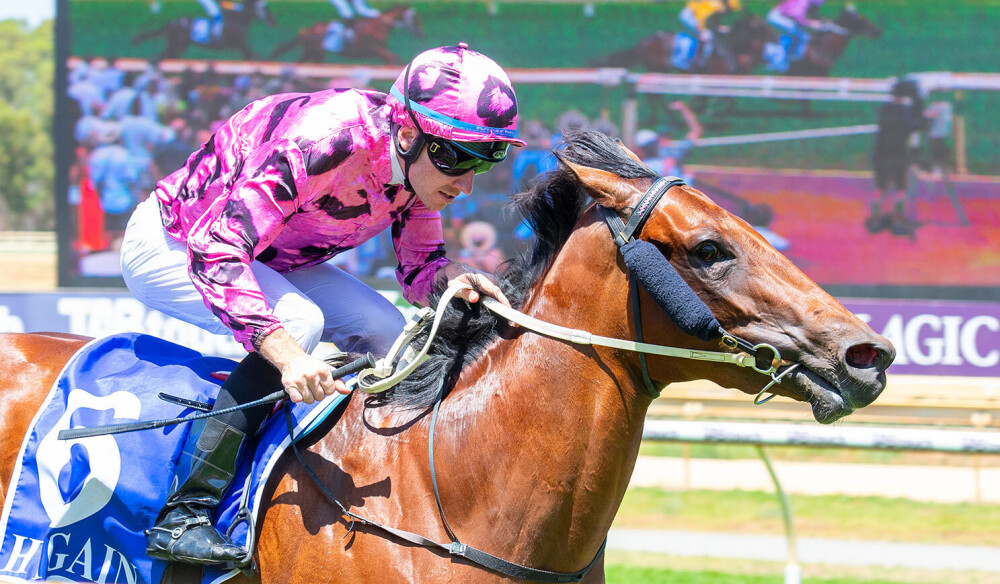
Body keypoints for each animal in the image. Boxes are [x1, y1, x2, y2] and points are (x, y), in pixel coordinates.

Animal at [132, 0, 278, 61]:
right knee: (161, 56)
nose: (273, 21)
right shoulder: (238, 44)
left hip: (179, 46)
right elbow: (252, 54)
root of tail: (170, 23)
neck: (238, 19)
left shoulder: (240, 45)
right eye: (263, 7)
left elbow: (252, 55)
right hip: (176, 45)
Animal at [268, 5, 420, 64]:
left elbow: (392, 58)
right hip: (316, 52)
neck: (377, 28)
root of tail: (308, 29)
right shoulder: (375, 49)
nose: (420, 34)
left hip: (311, 52)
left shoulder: (381, 52)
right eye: (412, 18)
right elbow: (393, 57)